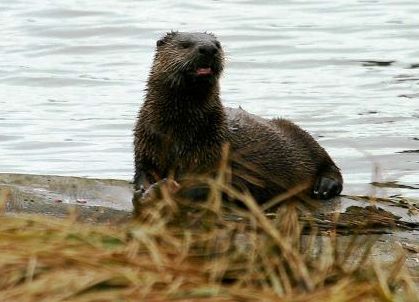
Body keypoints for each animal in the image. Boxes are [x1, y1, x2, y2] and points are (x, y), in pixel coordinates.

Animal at [133, 30, 342, 210]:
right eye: (185, 44)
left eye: (217, 44)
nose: (208, 48)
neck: (178, 133)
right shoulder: (145, 145)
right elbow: (141, 173)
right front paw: (145, 189)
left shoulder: (217, 153)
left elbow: (210, 186)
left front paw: (162, 190)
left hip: (301, 135)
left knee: (330, 165)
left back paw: (324, 186)